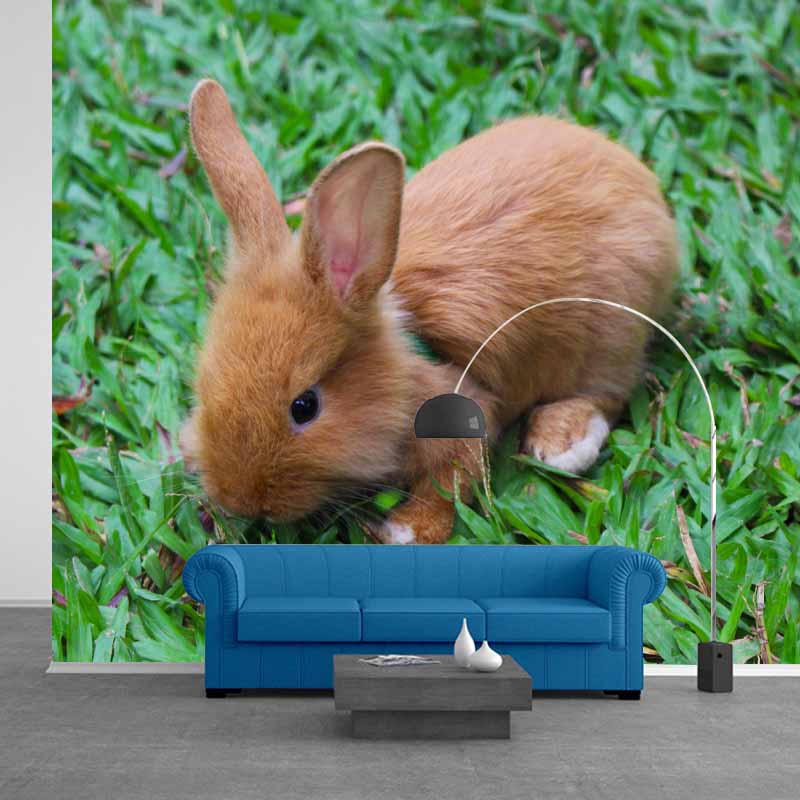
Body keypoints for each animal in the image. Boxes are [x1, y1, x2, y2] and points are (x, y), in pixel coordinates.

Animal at [180, 79, 677, 545]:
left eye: (305, 406)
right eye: (204, 384)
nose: (240, 500)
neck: (404, 369)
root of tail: (642, 185)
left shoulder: (463, 422)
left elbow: (448, 486)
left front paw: (403, 531)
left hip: (607, 334)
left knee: (608, 390)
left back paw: (561, 443)